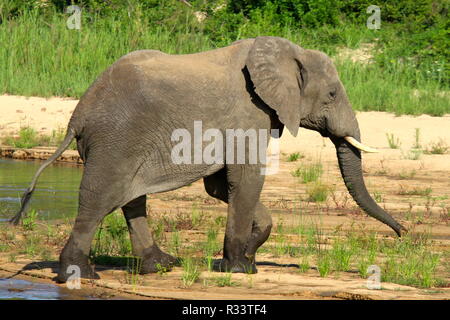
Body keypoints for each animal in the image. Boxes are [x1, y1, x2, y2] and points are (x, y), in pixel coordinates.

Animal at [10, 35, 406, 282]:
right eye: (332, 94)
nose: (402, 232)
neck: (285, 52)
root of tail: (77, 115)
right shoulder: (250, 112)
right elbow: (246, 180)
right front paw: (241, 268)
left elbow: (221, 186)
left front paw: (244, 257)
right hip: (115, 139)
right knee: (99, 199)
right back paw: (79, 274)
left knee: (131, 198)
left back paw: (161, 266)